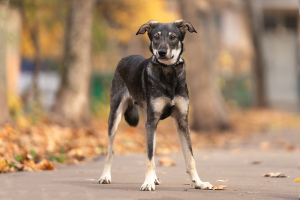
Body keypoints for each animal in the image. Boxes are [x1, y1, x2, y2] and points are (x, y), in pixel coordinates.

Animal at [99, 19, 213, 191]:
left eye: (173, 37)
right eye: (156, 37)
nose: (161, 52)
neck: (168, 73)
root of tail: (125, 58)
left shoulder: (181, 121)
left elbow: (190, 157)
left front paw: (199, 182)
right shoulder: (151, 122)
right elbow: (149, 157)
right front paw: (147, 183)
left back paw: (155, 178)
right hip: (116, 116)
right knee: (110, 149)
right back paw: (105, 176)